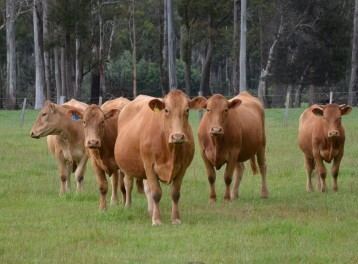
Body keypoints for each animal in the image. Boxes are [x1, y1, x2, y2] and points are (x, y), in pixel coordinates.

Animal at [113, 90, 206, 225]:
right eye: (166, 110)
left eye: (187, 110)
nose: (177, 136)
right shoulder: (149, 165)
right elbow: (156, 193)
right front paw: (156, 220)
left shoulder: (182, 168)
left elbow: (175, 194)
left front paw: (175, 218)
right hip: (128, 167)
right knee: (128, 184)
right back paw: (128, 206)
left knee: (147, 189)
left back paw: (151, 210)